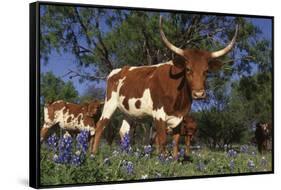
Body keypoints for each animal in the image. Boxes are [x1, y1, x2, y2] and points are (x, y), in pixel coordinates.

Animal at [91, 15, 237, 157]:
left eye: (206, 71)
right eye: (188, 69)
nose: (199, 94)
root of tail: (120, 70)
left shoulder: (180, 118)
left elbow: (176, 143)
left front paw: (174, 161)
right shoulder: (159, 114)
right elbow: (162, 140)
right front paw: (161, 160)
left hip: (129, 112)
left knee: (124, 131)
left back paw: (126, 155)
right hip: (110, 103)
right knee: (100, 126)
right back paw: (93, 153)